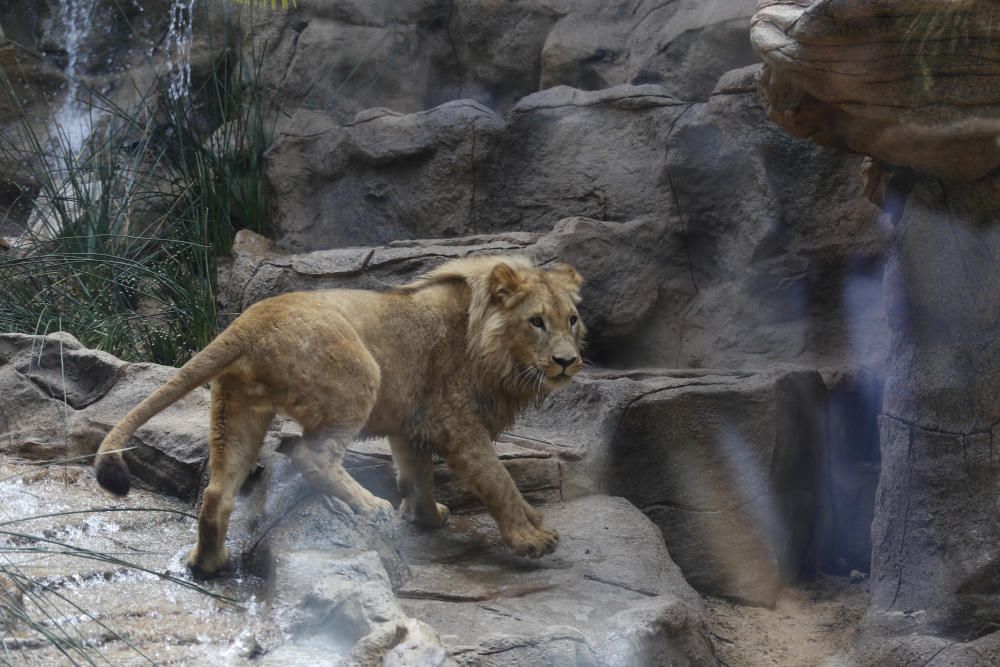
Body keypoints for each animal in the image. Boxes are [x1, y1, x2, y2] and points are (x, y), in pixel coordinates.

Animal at [94, 253, 584, 576]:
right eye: (536, 321)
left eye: (573, 319)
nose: (567, 361)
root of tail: (246, 323)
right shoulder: (454, 419)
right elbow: (497, 479)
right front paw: (531, 538)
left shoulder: (412, 420)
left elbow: (417, 474)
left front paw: (427, 516)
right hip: (359, 377)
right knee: (311, 455)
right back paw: (370, 506)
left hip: (238, 408)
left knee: (218, 491)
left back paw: (209, 563)